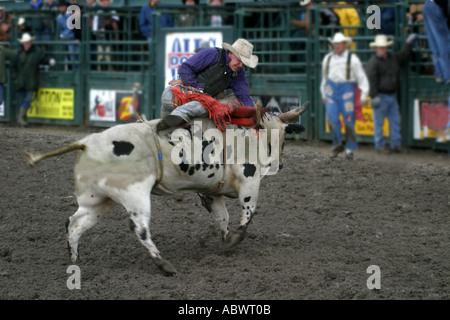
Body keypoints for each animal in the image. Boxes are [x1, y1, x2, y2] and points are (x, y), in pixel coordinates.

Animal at [27, 102, 310, 276]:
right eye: (286, 137)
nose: (280, 165)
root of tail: (86, 143)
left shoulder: (212, 193)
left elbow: (222, 218)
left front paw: (224, 242)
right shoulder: (249, 181)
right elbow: (246, 215)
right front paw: (232, 242)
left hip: (97, 199)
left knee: (74, 222)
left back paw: (75, 259)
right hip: (135, 194)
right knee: (139, 228)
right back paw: (164, 265)